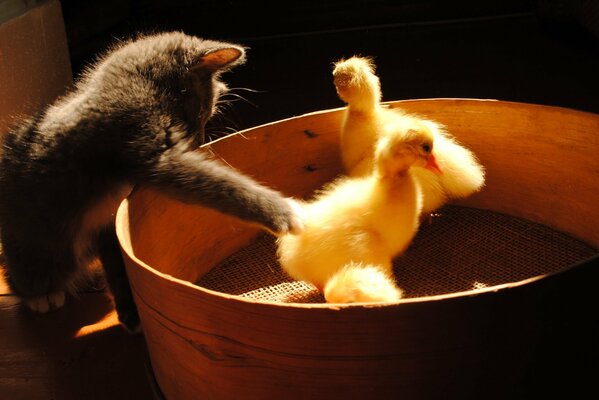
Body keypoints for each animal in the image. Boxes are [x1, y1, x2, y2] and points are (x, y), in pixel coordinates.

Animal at [0, 30, 302, 332]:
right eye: (200, 113)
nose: (199, 142)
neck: (138, 83)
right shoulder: (146, 147)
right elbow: (216, 183)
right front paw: (287, 213)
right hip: (45, 239)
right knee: (36, 266)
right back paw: (41, 296)